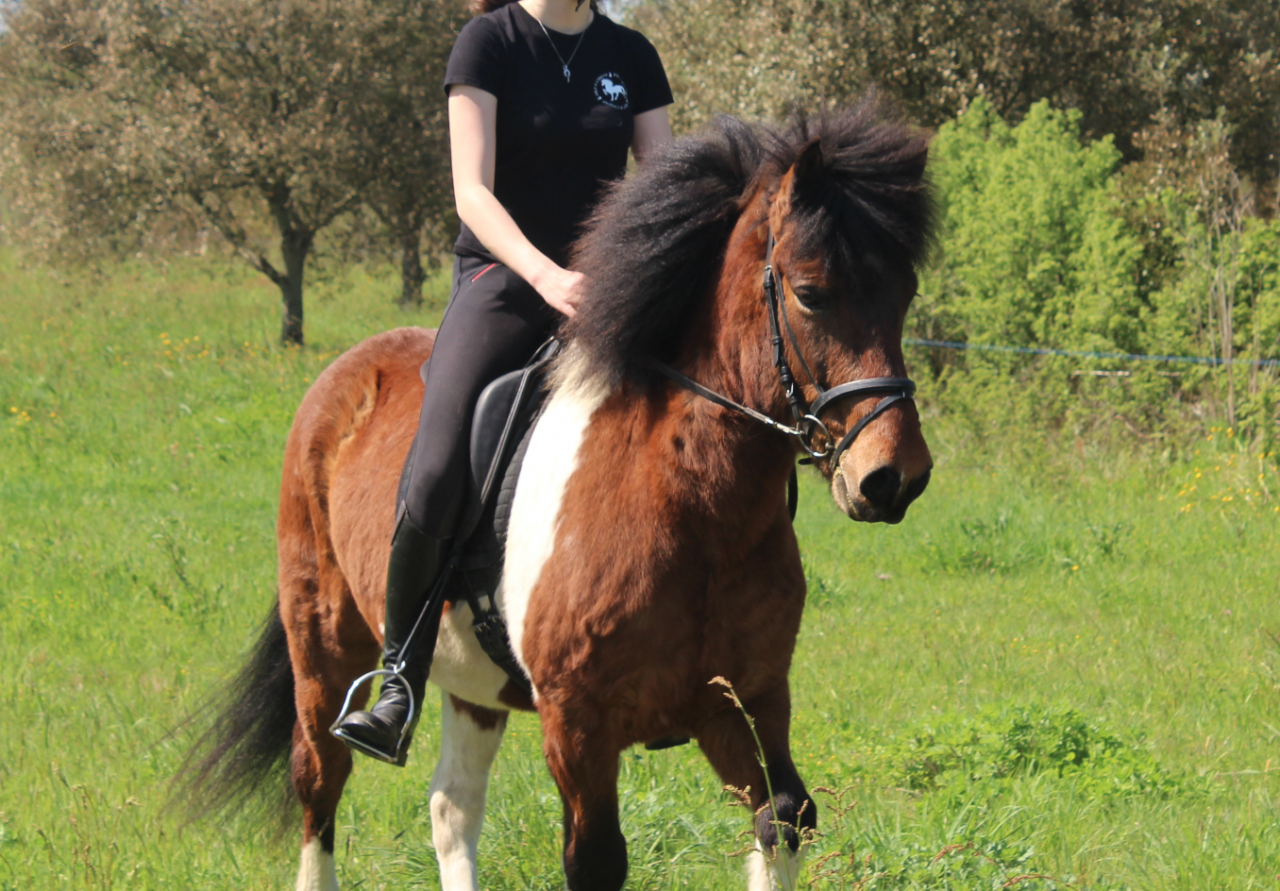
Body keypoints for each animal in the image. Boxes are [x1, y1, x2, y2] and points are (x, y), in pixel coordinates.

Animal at [184, 96, 935, 891]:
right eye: (810, 293)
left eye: (905, 293)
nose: (894, 477)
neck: (693, 511)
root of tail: (346, 371)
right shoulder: (578, 724)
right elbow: (595, 858)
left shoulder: (748, 700)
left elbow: (783, 817)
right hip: (323, 648)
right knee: (319, 782)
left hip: (470, 685)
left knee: (451, 805)